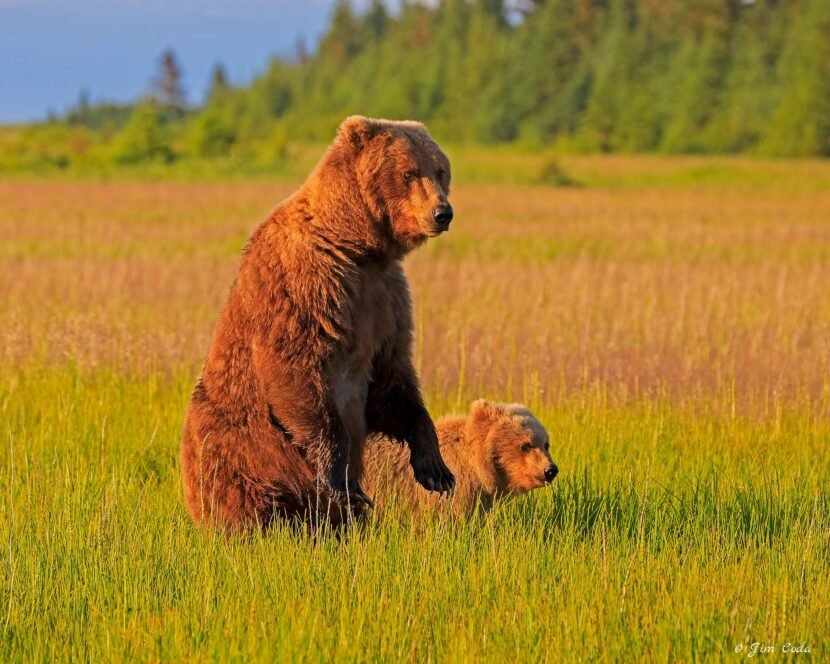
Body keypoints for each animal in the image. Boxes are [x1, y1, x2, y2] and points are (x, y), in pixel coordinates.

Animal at [180, 116, 456, 531]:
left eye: (440, 170)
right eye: (409, 172)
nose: (442, 213)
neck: (357, 244)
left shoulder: (384, 299)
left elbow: (391, 378)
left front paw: (436, 469)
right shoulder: (308, 281)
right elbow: (295, 370)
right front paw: (342, 481)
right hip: (240, 442)